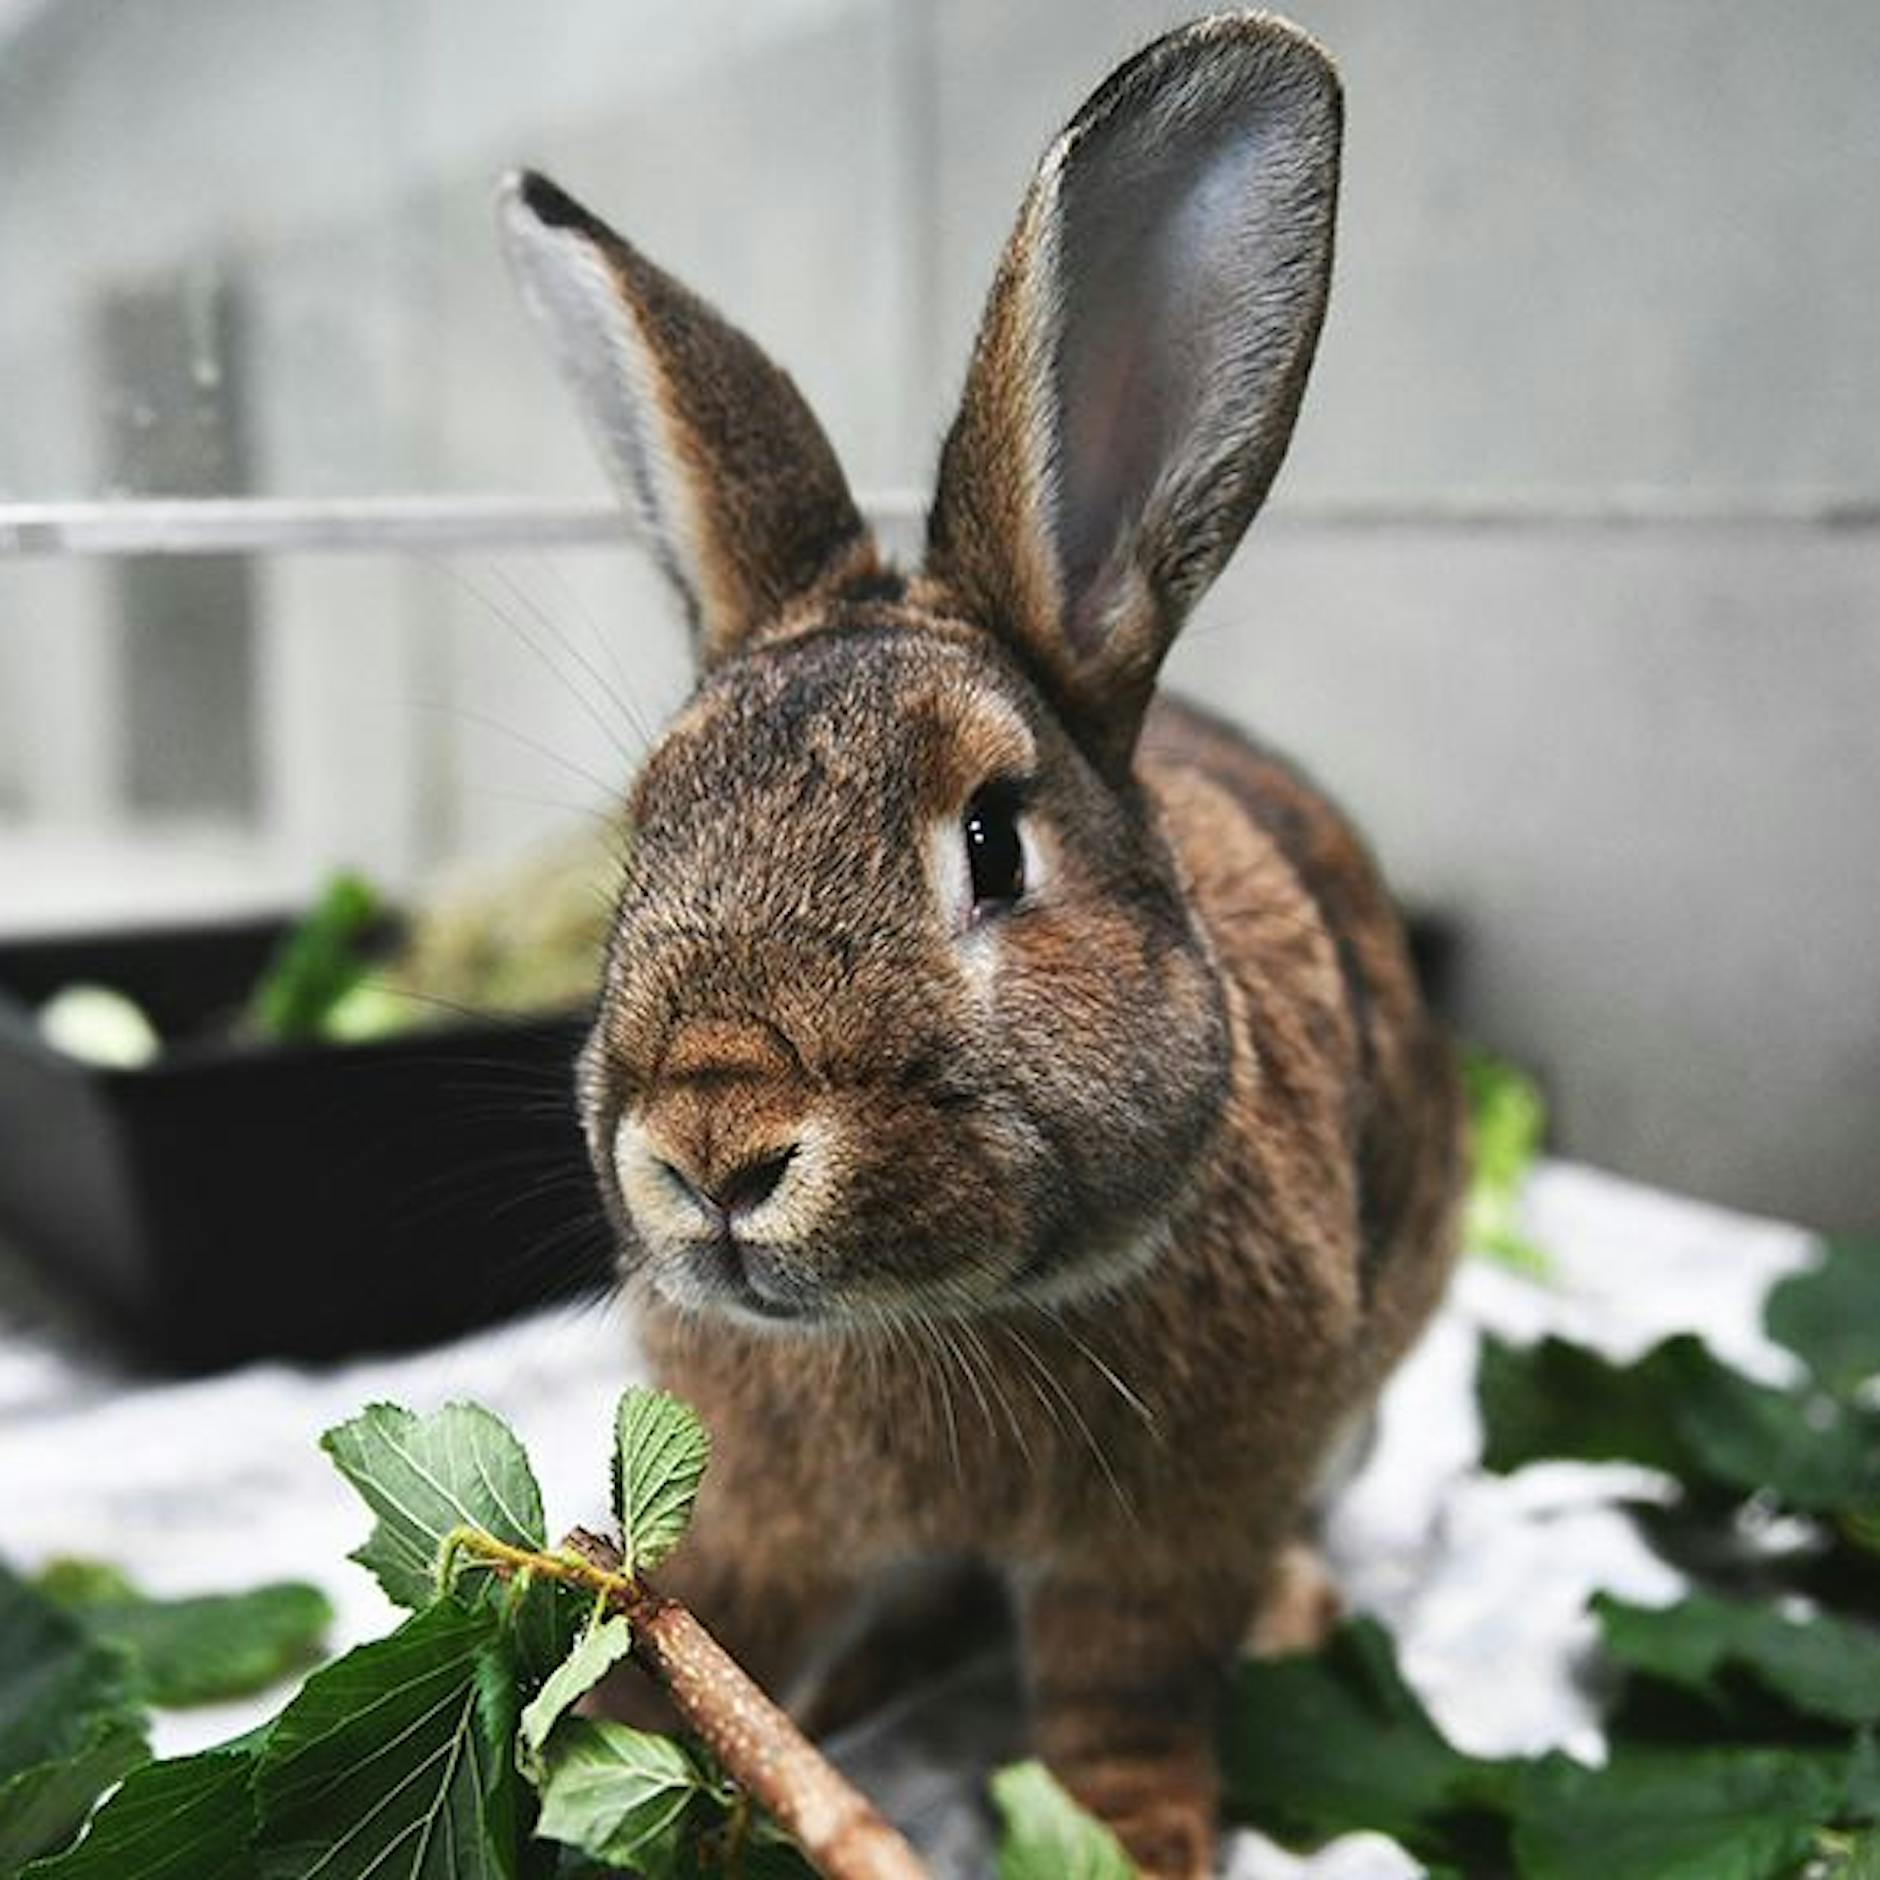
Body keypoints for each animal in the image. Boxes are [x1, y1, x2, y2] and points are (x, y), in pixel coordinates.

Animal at [499, 12, 1462, 1876]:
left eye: (994, 844)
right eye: (652, 832)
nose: (715, 1143)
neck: (935, 1321)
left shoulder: (1159, 1551)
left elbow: (1118, 1711)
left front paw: (1136, 1841)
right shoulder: (761, 1518)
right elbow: (699, 1632)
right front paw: (607, 1747)